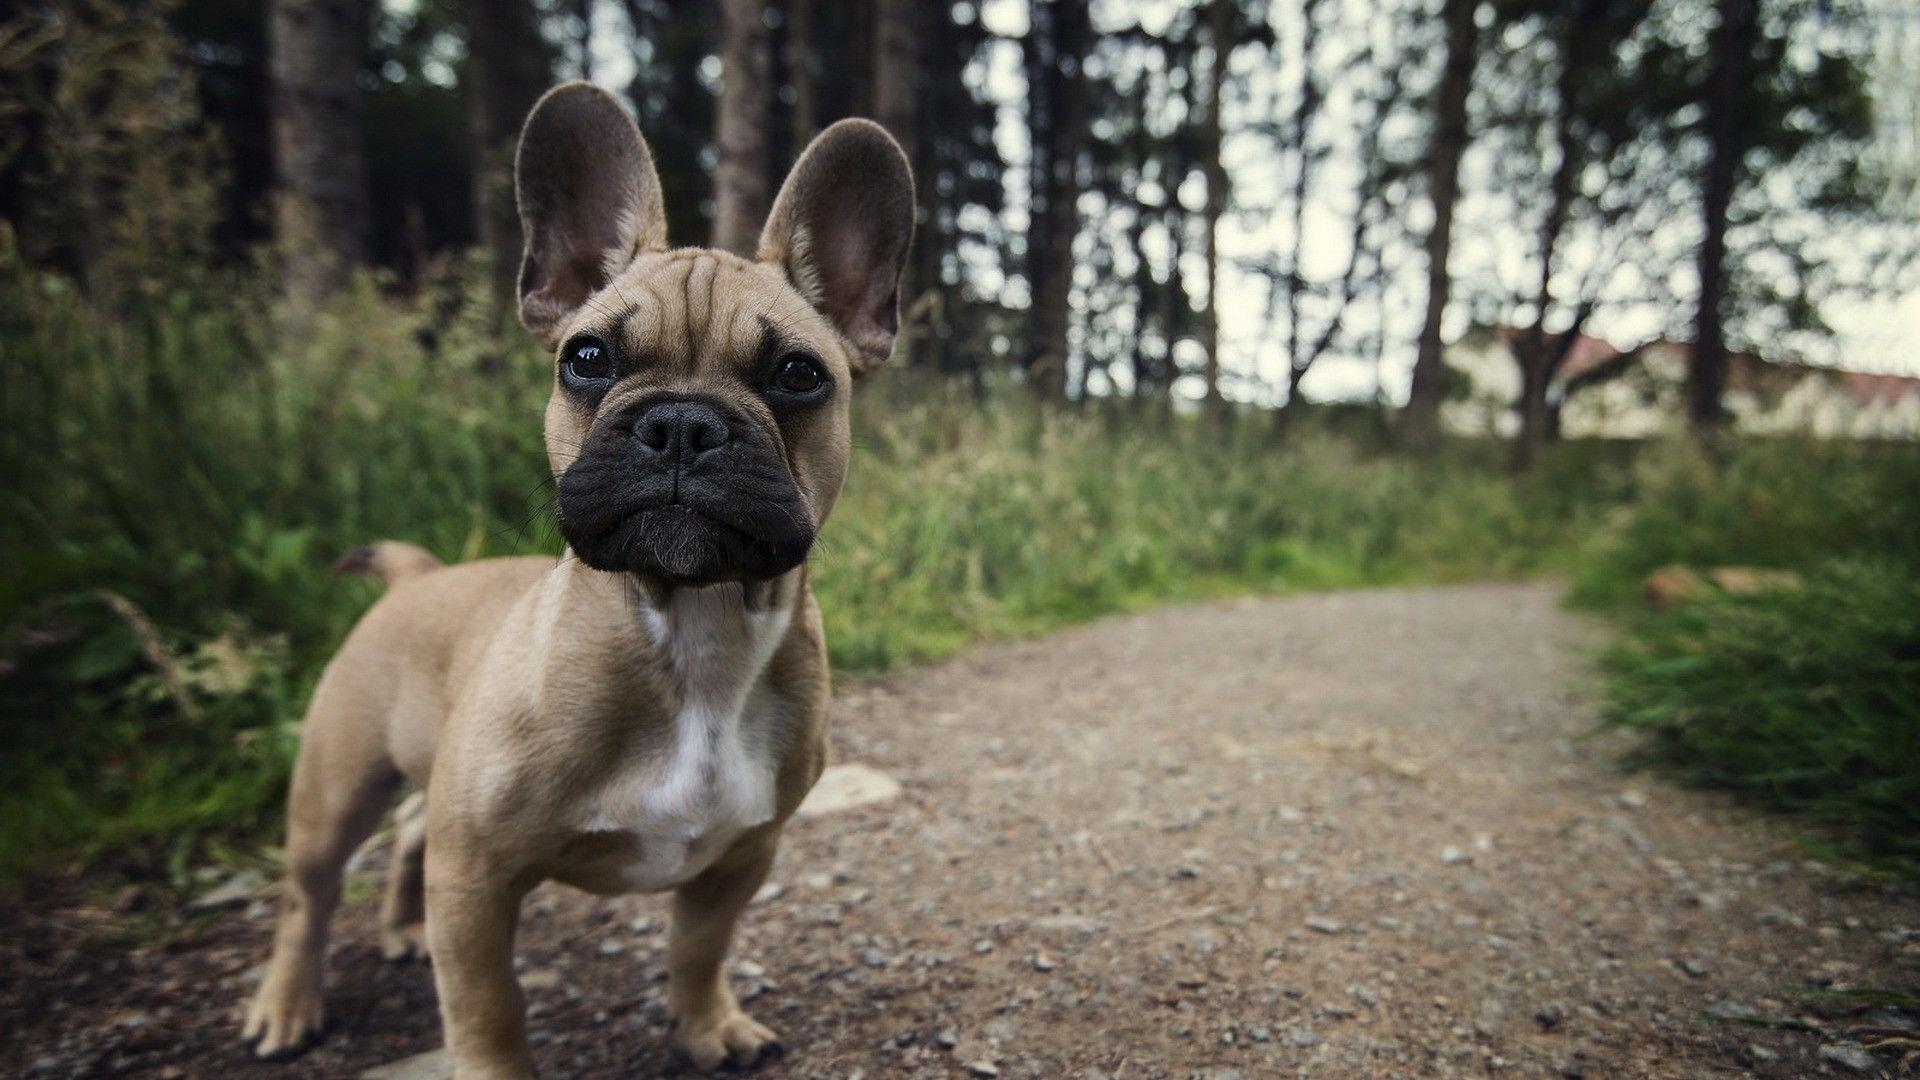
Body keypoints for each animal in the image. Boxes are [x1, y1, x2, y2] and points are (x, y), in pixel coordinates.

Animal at [241, 85, 913, 1076]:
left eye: (798, 375)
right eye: (586, 359)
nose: (682, 424)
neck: (694, 625)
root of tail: (414, 577)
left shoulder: (739, 858)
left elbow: (698, 947)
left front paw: (708, 1026)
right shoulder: (476, 875)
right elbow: (488, 1008)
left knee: (406, 839)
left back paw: (401, 931)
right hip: (338, 787)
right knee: (308, 896)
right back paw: (286, 1006)